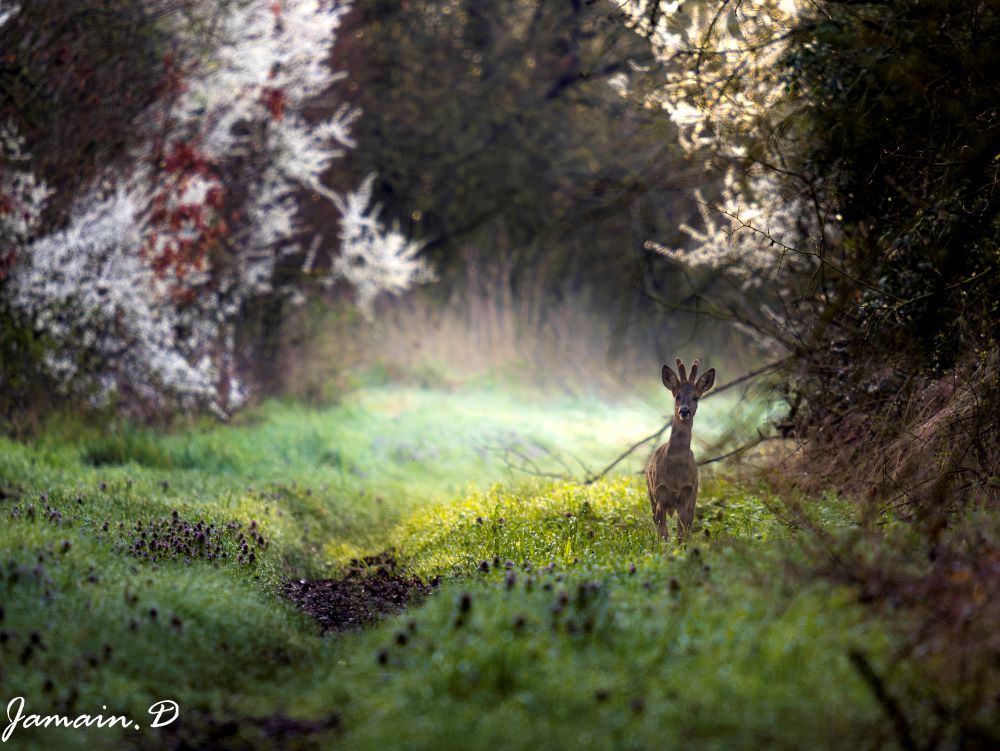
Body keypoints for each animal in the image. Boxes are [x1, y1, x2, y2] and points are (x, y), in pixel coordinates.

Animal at [644, 356, 716, 540]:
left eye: (696, 397)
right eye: (677, 396)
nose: (684, 411)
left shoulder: (686, 496)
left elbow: (680, 536)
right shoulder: (660, 494)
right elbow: (663, 535)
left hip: (694, 497)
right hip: (651, 496)